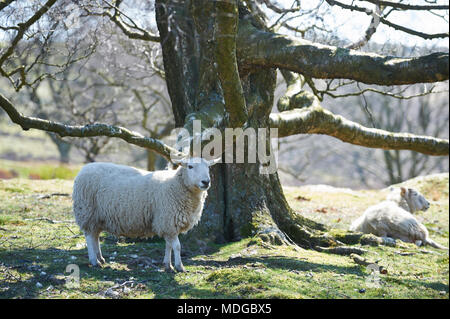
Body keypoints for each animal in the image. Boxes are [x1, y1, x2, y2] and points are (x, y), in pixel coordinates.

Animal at [72, 156, 220, 272]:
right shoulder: (168, 219)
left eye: (208, 167)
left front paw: (167, 265)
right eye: (190, 166)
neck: (176, 185)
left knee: (95, 236)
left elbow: (169, 245)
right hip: (87, 211)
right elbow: (177, 246)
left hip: (98, 216)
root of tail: (83, 169)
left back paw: (100, 258)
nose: (206, 182)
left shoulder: (167, 223)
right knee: (89, 236)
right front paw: (179, 267)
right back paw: (94, 261)